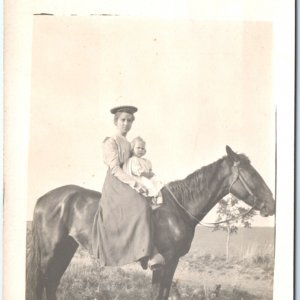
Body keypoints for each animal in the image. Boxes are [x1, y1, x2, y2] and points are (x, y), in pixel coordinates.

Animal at [25, 145, 274, 298]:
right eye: (252, 173)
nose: (271, 204)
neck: (178, 209)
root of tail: (42, 199)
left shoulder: (171, 263)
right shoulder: (165, 262)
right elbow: (158, 293)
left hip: (66, 248)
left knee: (51, 283)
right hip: (50, 252)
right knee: (42, 283)